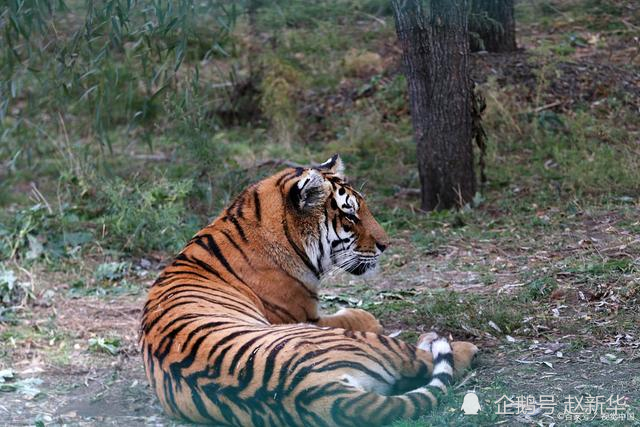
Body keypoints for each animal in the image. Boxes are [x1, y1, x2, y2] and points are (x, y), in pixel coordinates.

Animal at [141, 155, 480, 426]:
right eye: (350, 215)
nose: (386, 245)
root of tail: (311, 391)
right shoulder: (306, 315)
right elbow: (360, 315)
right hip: (343, 338)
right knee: (422, 358)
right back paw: (456, 346)